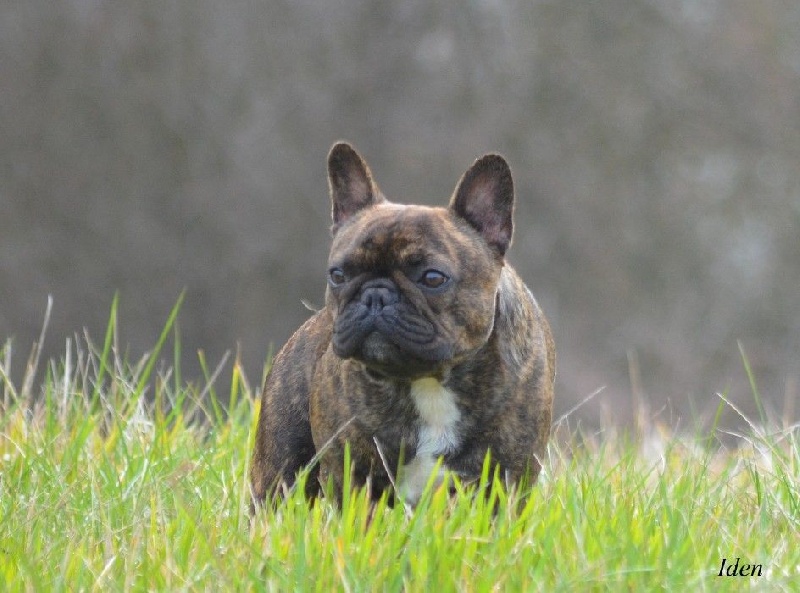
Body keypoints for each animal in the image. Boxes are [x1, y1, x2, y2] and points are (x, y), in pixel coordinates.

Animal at [252, 141, 556, 506]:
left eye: (433, 278)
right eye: (338, 275)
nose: (376, 296)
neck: (427, 381)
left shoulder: (506, 479)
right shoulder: (351, 475)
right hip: (280, 463)